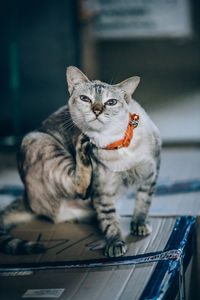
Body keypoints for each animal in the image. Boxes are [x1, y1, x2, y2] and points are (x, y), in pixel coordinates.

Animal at [0, 67, 161, 256]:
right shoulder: (103, 190)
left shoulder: (151, 174)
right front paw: (115, 243)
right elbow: (109, 220)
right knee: (80, 187)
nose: (97, 110)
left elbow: (143, 202)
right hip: (40, 143)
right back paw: (82, 145)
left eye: (111, 102)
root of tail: (26, 197)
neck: (117, 147)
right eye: (85, 98)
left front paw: (139, 225)